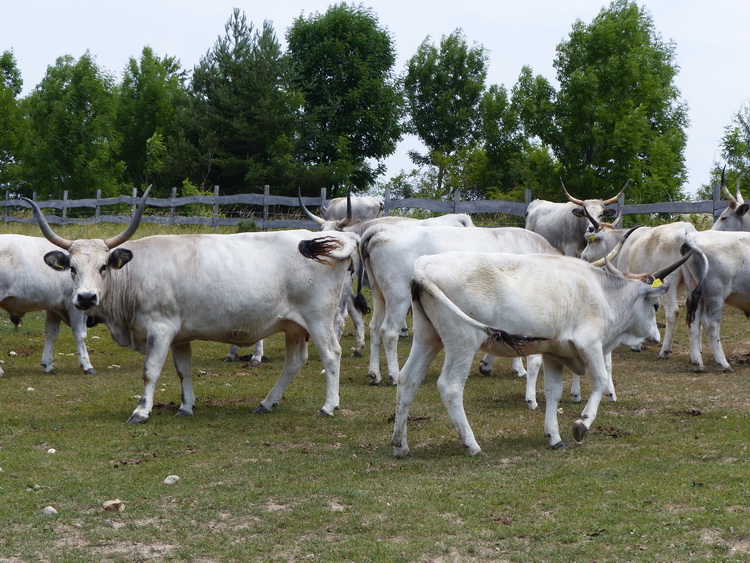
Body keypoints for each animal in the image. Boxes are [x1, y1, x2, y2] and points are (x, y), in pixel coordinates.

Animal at [0, 236, 96, 376]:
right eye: (73, 268)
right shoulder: (75, 305)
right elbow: (80, 334)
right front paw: (87, 365)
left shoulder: (54, 308)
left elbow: (51, 333)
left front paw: (47, 365)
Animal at [360, 227, 564, 386]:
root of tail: (382, 231)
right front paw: (519, 369)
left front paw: (486, 365)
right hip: (398, 295)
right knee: (389, 331)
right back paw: (394, 375)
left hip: (379, 295)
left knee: (375, 328)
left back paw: (374, 375)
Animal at [394, 251, 692, 458]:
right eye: (655, 305)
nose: (655, 338)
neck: (603, 293)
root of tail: (424, 264)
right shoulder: (590, 344)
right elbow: (600, 381)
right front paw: (582, 423)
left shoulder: (554, 354)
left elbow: (553, 393)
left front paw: (554, 436)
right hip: (463, 342)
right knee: (451, 386)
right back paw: (472, 444)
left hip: (428, 338)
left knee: (408, 380)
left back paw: (401, 445)